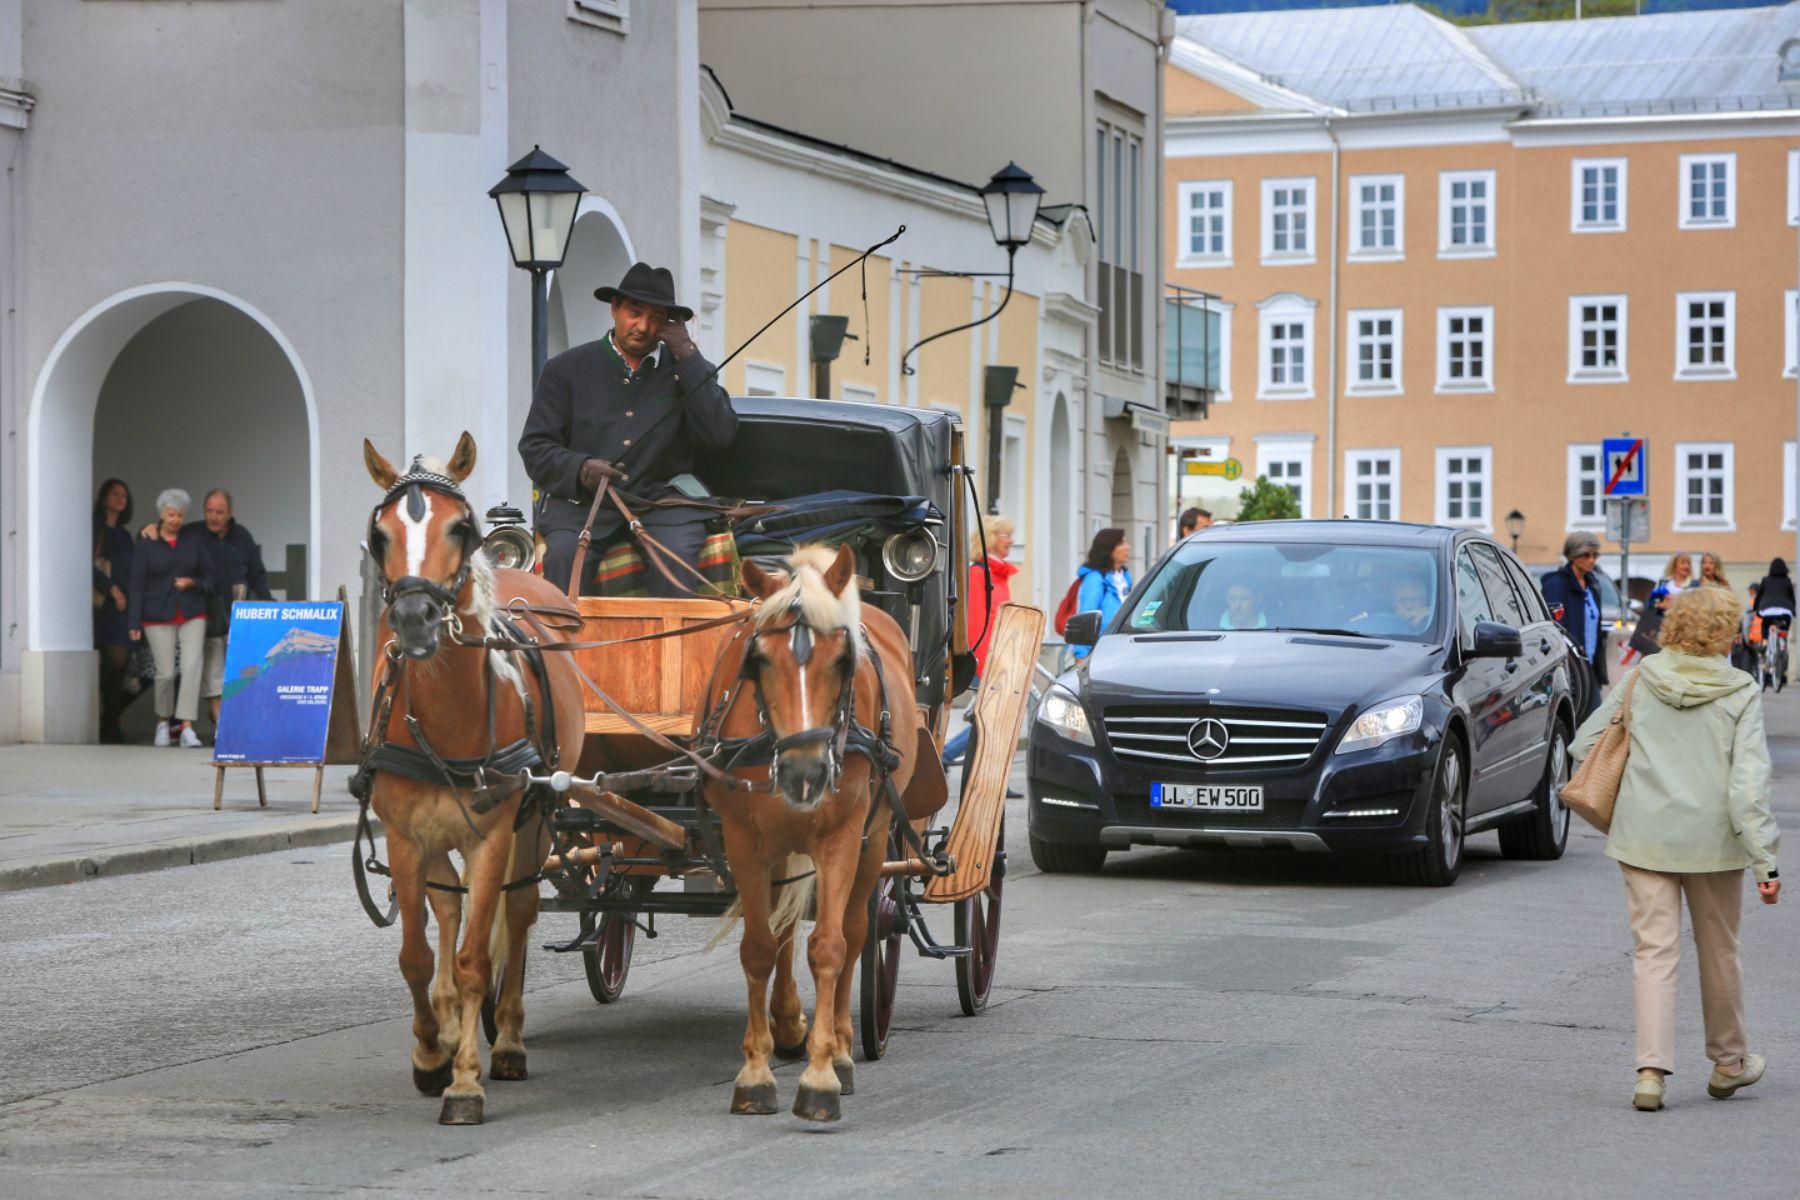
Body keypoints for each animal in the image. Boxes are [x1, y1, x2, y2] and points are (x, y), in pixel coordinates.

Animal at [361, 433, 586, 1129]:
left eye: (460, 528)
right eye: (379, 534)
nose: (415, 620)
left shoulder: (493, 835)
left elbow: (473, 958)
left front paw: (463, 1083)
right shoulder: (406, 837)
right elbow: (417, 953)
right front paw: (432, 1054)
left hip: (534, 822)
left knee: (516, 911)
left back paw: (506, 1039)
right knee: (451, 907)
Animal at [698, 546, 936, 1129]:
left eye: (843, 661)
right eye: (759, 660)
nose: (804, 774)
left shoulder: (842, 837)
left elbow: (829, 946)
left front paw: (821, 1076)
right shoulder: (745, 839)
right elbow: (759, 947)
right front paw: (755, 1073)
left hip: (875, 838)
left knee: (856, 931)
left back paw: (845, 1050)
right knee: (783, 931)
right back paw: (787, 1023)